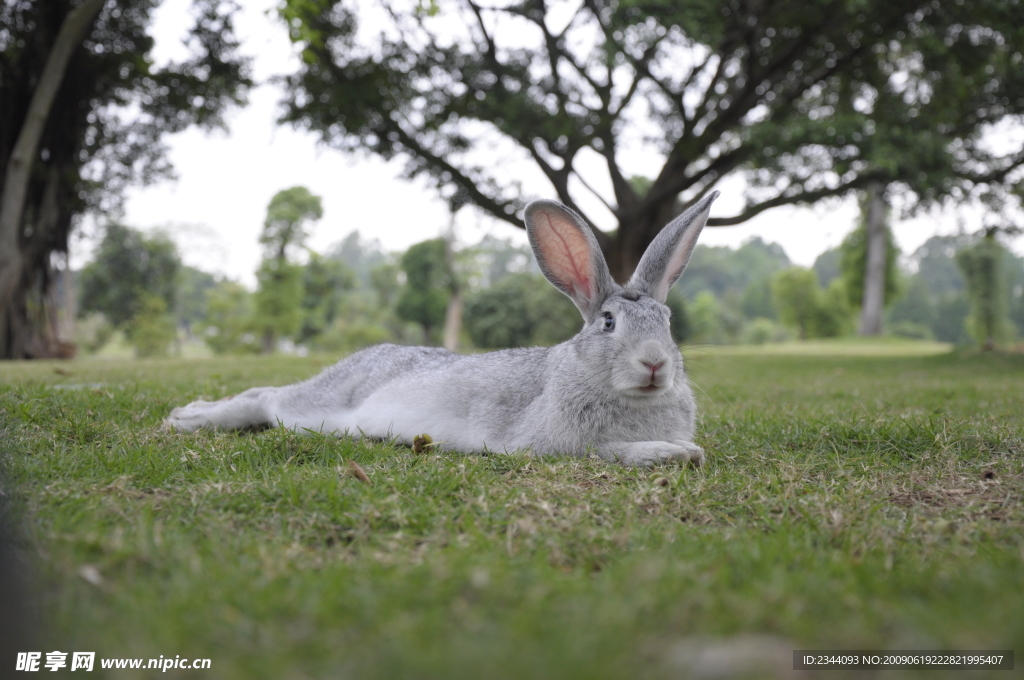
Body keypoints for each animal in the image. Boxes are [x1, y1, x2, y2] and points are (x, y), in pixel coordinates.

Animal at [161, 191, 720, 466]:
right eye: (608, 322)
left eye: (668, 322)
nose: (655, 363)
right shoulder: (554, 445)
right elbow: (612, 451)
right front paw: (676, 452)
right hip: (318, 408)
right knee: (267, 398)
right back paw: (187, 417)